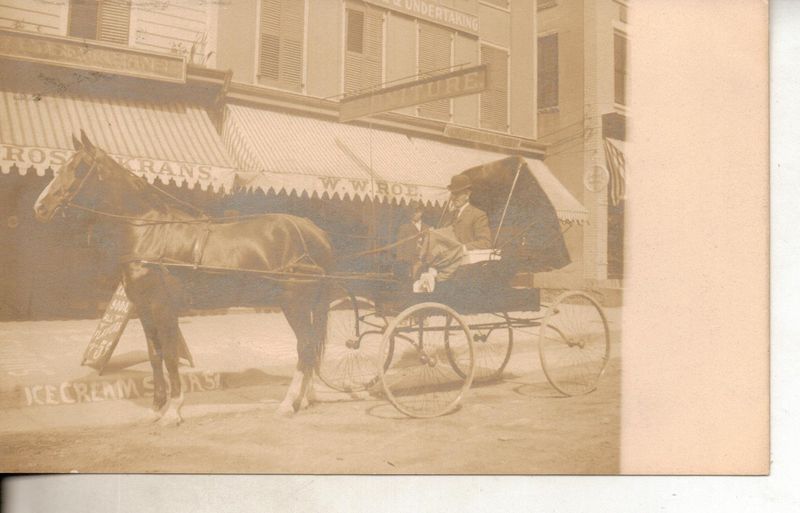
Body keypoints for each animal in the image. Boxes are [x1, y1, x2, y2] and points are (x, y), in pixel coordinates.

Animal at [32, 131, 332, 424]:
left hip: (294, 304)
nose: (40, 207)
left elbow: (171, 356)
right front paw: (156, 408)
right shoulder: (143, 308)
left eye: (78, 168)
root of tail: (314, 230)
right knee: (309, 347)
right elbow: (155, 355)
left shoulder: (163, 306)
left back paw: (287, 403)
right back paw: (304, 399)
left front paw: (173, 410)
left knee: (305, 346)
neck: (148, 230)